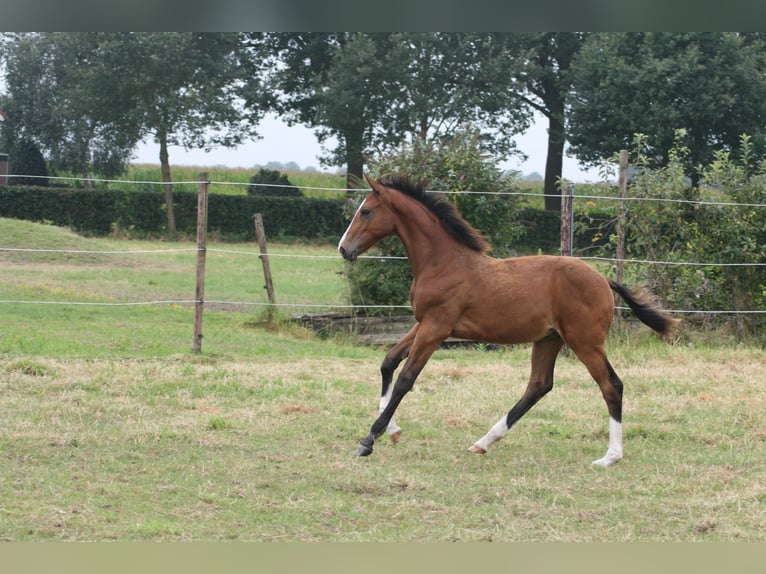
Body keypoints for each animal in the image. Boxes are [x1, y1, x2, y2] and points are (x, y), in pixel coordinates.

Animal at [336, 174, 680, 468]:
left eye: (366, 211)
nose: (343, 248)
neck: (443, 263)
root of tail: (602, 279)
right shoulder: (424, 323)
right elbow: (389, 362)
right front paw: (393, 431)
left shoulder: (437, 328)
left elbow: (406, 378)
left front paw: (369, 440)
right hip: (549, 339)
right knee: (538, 385)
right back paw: (483, 442)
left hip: (585, 342)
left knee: (611, 385)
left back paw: (610, 456)